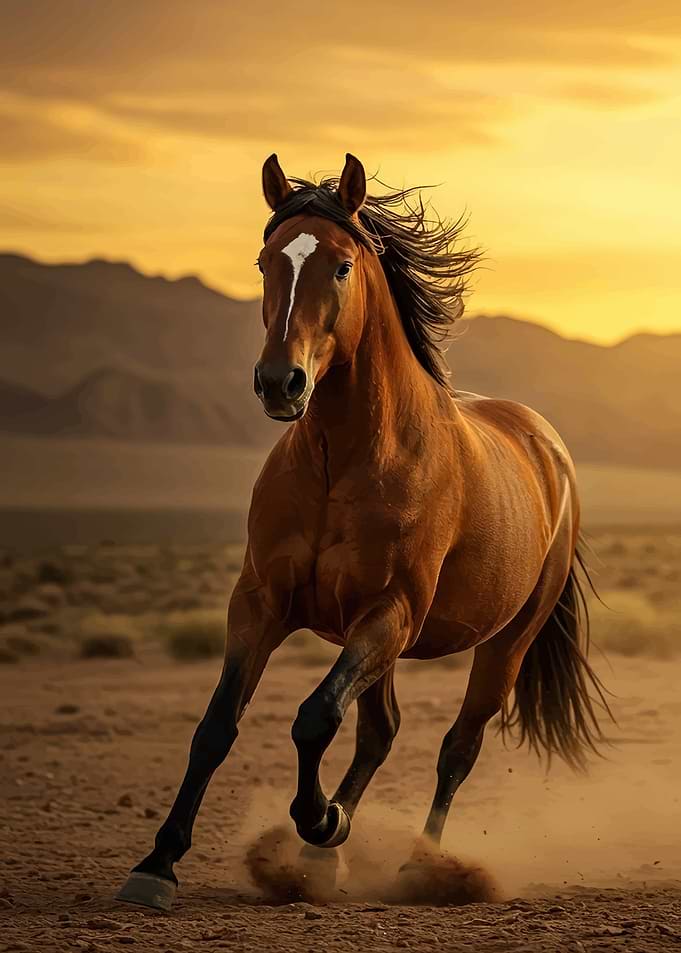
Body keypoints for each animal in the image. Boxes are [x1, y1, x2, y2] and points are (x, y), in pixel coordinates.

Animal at [117, 153, 610, 911]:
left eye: (342, 265)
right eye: (265, 261)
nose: (280, 383)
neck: (341, 462)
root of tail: (547, 447)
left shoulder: (389, 612)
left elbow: (315, 716)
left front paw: (321, 818)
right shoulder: (261, 603)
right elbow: (216, 726)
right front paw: (157, 863)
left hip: (501, 642)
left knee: (456, 747)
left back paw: (415, 865)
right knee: (381, 732)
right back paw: (323, 858)